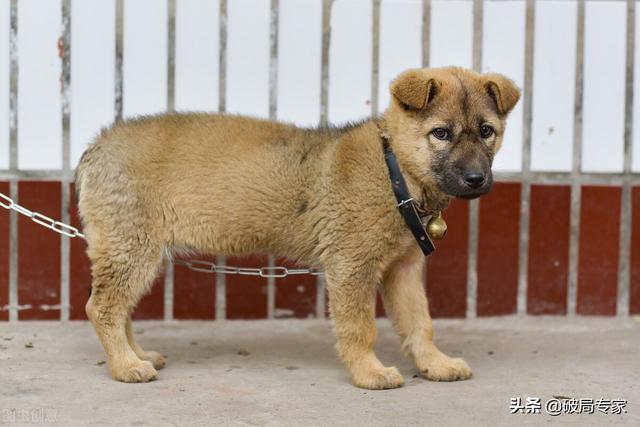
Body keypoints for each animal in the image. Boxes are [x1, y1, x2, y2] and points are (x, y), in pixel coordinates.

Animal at [76, 65, 520, 390]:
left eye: (487, 131)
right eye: (440, 133)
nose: (477, 179)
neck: (394, 169)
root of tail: (96, 147)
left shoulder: (404, 269)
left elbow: (420, 324)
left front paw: (434, 364)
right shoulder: (351, 267)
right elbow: (360, 328)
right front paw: (369, 373)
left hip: (133, 250)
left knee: (118, 307)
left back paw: (137, 355)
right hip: (131, 247)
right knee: (102, 307)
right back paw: (125, 366)